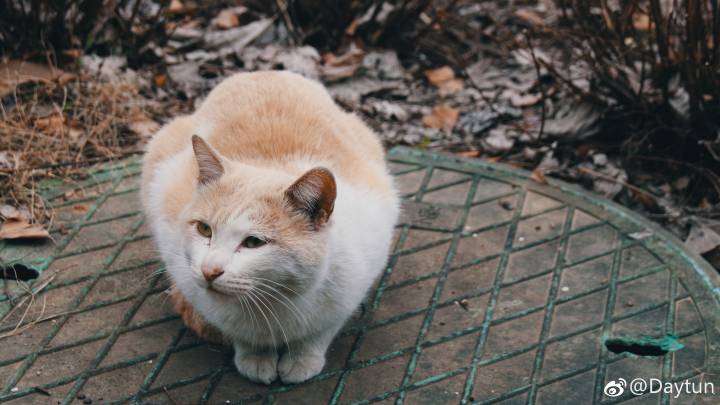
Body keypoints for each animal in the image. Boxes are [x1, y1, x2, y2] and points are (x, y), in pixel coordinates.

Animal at [139, 71, 400, 384]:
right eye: (204, 230)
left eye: (253, 242)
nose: (209, 271)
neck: (271, 303)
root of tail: (263, 72)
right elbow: (241, 334)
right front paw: (255, 356)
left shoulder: (356, 280)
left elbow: (319, 333)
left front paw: (302, 359)